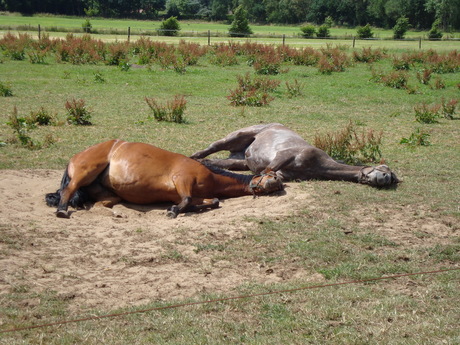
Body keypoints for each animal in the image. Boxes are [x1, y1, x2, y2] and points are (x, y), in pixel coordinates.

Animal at [46, 138, 284, 216]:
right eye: (270, 176)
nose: (276, 183)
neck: (212, 176)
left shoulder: (187, 193)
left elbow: (213, 201)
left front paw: (179, 208)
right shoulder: (182, 180)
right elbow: (187, 199)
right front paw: (174, 211)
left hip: (108, 194)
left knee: (103, 204)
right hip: (85, 172)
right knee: (68, 190)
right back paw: (62, 210)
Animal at [190, 123, 398, 187]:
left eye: (389, 176)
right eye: (385, 170)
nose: (383, 179)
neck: (318, 164)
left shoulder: (283, 174)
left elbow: (267, 175)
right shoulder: (283, 155)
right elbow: (267, 172)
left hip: (239, 160)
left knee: (212, 161)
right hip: (236, 137)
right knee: (209, 149)